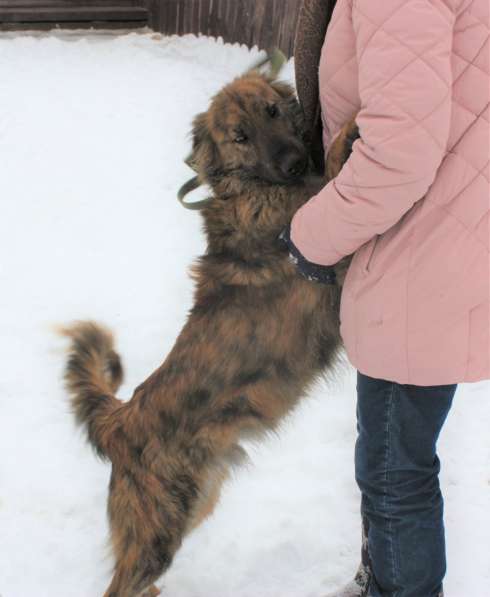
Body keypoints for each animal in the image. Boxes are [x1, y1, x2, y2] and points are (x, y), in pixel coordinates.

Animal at [63, 70, 358, 596]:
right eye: (239, 136)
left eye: (272, 111)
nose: (294, 161)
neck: (252, 192)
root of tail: (118, 421)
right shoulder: (320, 253)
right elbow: (333, 183)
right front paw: (348, 136)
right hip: (158, 530)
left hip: (197, 501)